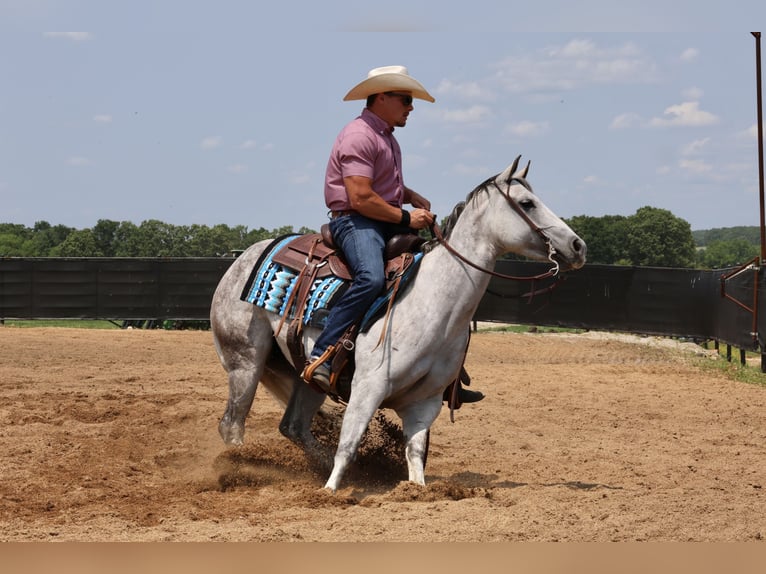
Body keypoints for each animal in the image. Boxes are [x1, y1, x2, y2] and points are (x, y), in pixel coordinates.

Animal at [210, 156, 586, 492]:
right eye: (527, 203)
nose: (578, 245)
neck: (433, 303)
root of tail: (246, 257)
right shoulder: (367, 388)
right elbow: (349, 443)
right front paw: (330, 491)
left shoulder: (426, 402)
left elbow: (415, 453)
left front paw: (415, 489)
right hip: (245, 362)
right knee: (232, 424)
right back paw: (240, 469)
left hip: (305, 374)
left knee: (294, 427)